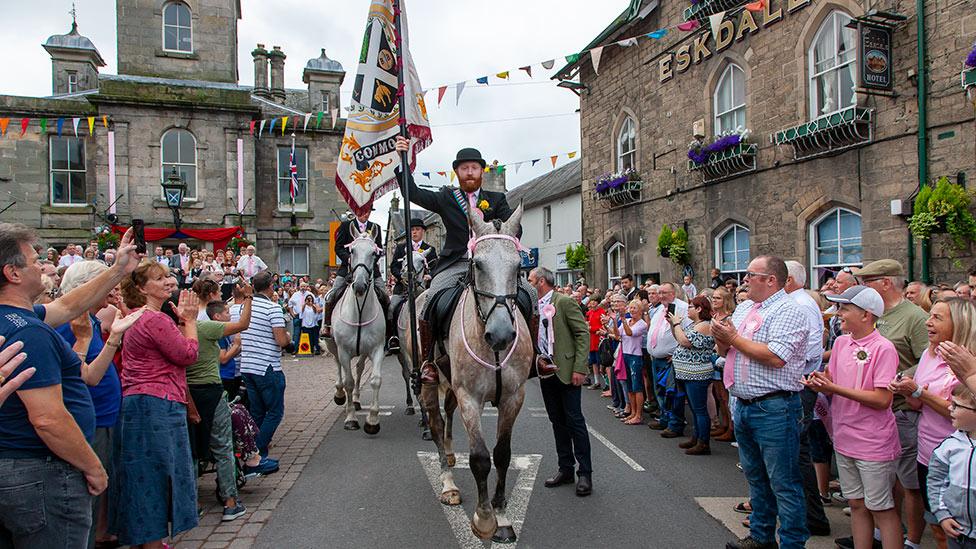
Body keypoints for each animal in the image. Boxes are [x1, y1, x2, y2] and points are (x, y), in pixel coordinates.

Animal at [328, 227, 388, 432]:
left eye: (374, 253)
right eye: (352, 251)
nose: (360, 286)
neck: (360, 310)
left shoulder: (377, 349)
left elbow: (375, 380)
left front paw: (372, 421)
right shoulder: (344, 350)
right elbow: (348, 381)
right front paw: (351, 419)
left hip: (363, 351)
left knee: (360, 368)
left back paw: (355, 400)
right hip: (333, 346)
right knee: (338, 366)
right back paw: (339, 395)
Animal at [420, 204, 532, 544]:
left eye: (517, 266)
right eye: (478, 264)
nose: (501, 334)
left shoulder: (513, 397)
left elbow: (503, 454)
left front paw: (502, 517)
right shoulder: (470, 396)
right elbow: (481, 458)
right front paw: (484, 519)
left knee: (447, 416)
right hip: (430, 382)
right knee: (436, 422)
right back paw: (448, 484)